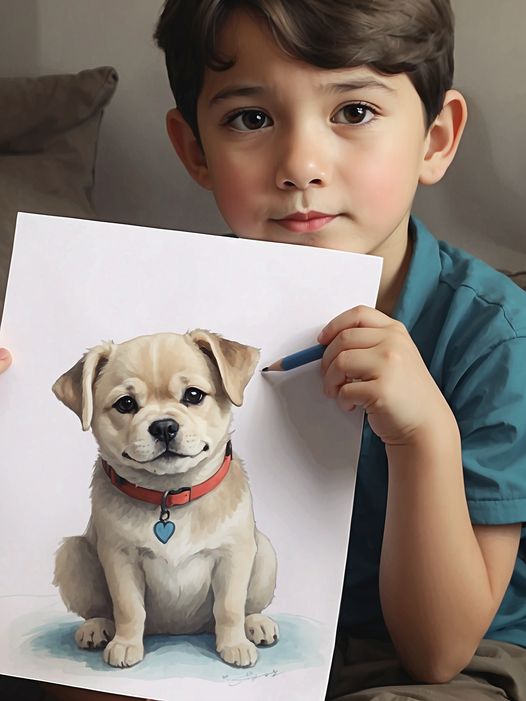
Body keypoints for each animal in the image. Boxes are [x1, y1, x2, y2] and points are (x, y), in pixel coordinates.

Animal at [51, 330, 278, 668]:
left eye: (194, 395)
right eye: (126, 404)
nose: (163, 426)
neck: (169, 495)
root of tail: (179, 629)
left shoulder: (233, 555)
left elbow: (229, 606)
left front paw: (234, 644)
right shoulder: (121, 558)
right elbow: (128, 607)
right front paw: (126, 644)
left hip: (264, 552)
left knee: (244, 608)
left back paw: (255, 623)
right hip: (72, 553)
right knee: (102, 609)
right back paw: (97, 627)